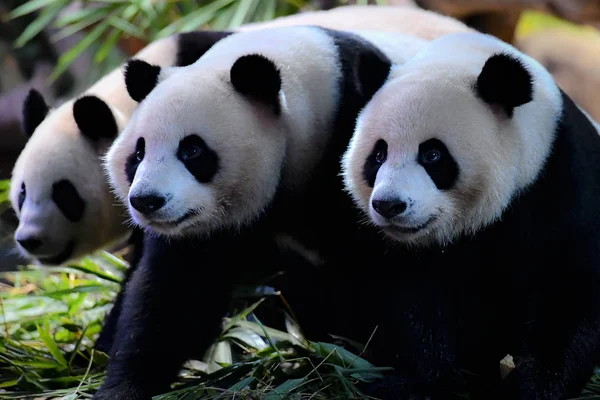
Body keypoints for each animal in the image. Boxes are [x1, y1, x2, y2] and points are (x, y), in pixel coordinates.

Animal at [330, 30, 600, 396]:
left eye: (432, 154)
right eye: (378, 155)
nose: (389, 205)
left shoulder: (560, 184)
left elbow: (569, 291)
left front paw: (529, 387)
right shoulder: (403, 252)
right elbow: (408, 302)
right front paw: (428, 382)